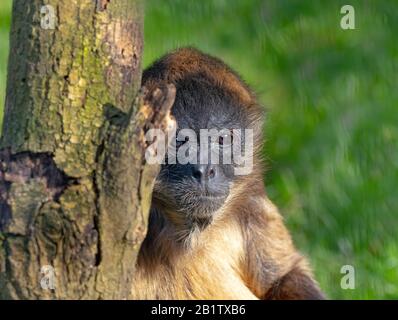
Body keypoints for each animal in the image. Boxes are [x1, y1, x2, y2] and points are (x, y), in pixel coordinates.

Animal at [132, 47, 324, 300]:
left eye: (223, 139)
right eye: (180, 141)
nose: (204, 170)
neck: (192, 236)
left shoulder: (253, 206)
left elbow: (285, 275)